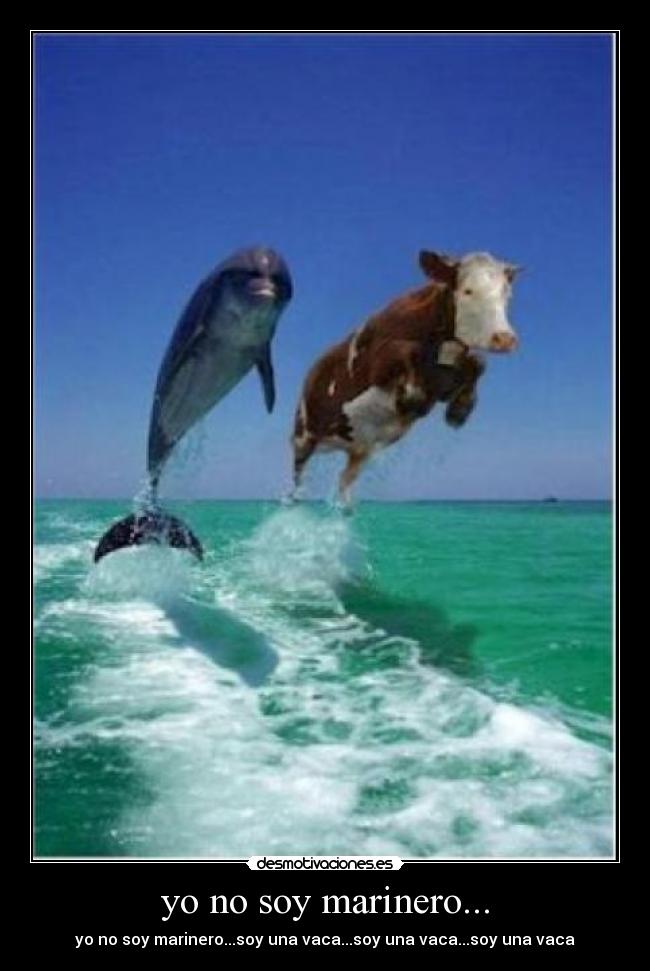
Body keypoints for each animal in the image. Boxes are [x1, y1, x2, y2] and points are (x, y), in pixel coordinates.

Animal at [290, 250, 521, 505]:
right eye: (468, 291)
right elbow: (408, 351)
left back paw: (345, 506)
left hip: (360, 448)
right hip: (303, 435)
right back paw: (295, 499)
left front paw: (460, 410)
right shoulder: (376, 363)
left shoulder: (443, 383)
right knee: (297, 476)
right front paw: (411, 398)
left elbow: (479, 362)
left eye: (507, 294)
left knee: (345, 479)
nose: (505, 338)